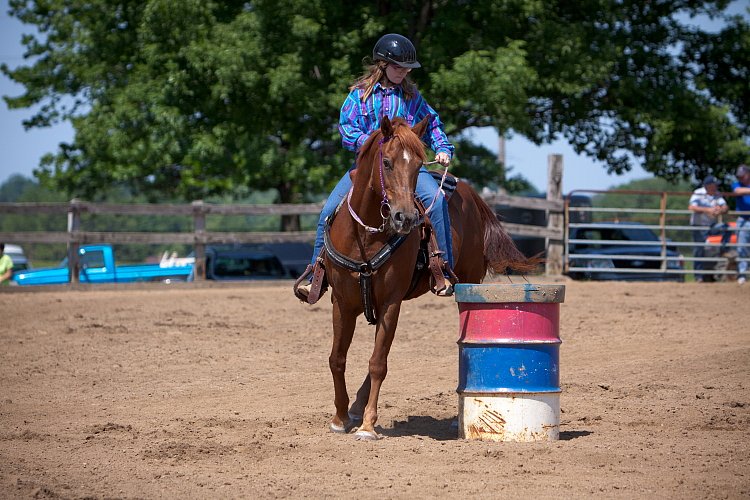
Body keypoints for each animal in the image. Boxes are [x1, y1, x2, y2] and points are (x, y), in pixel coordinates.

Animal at [324, 115, 540, 440]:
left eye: (417, 165)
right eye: (386, 162)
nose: (406, 218)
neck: (365, 236)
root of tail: (472, 195)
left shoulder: (390, 302)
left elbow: (378, 363)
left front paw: (368, 425)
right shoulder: (342, 302)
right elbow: (337, 358)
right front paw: (340, 417)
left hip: (468, 283)